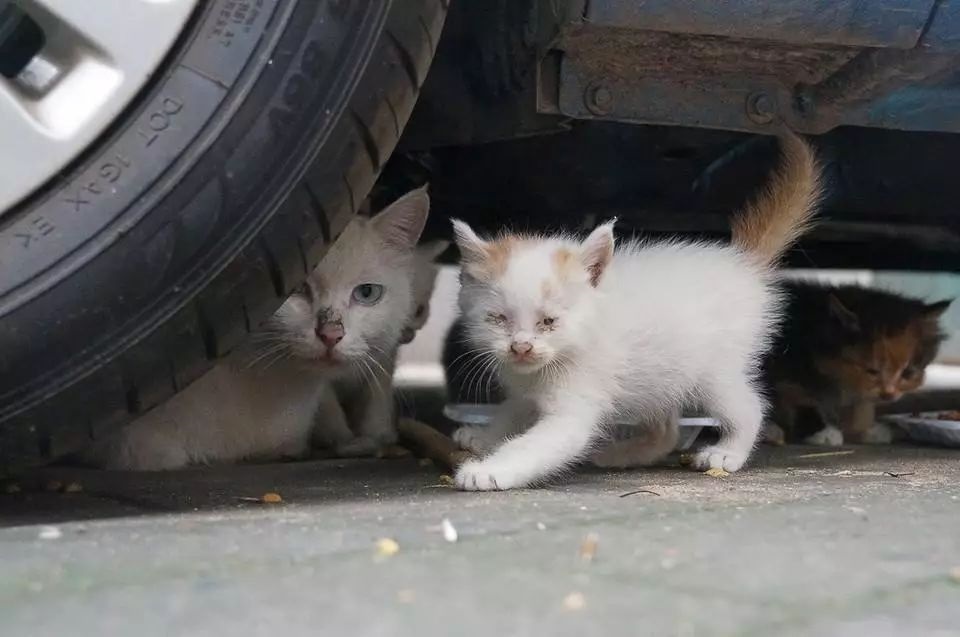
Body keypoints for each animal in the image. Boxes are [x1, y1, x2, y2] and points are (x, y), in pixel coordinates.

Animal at [448, 133, 816, 492]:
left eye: (549, 322)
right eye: (498, 319)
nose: (521, 348)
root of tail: (742, 263)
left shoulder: (575, 404)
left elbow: (533, 445)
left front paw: (488, 471)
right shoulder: (525, 389)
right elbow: (511, 412)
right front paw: (483, 436)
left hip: (714, 371)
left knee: (750, 407)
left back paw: (727, 453)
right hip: (662, 374)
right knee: (667, 431)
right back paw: (622, 454)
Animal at [760, 280, 948, 444]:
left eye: (908, 373)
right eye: (872, 371)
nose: (888, 395)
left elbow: (860, 404)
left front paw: (864, 430)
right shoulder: (784, 375)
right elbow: (802, 402)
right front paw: (823, 432)